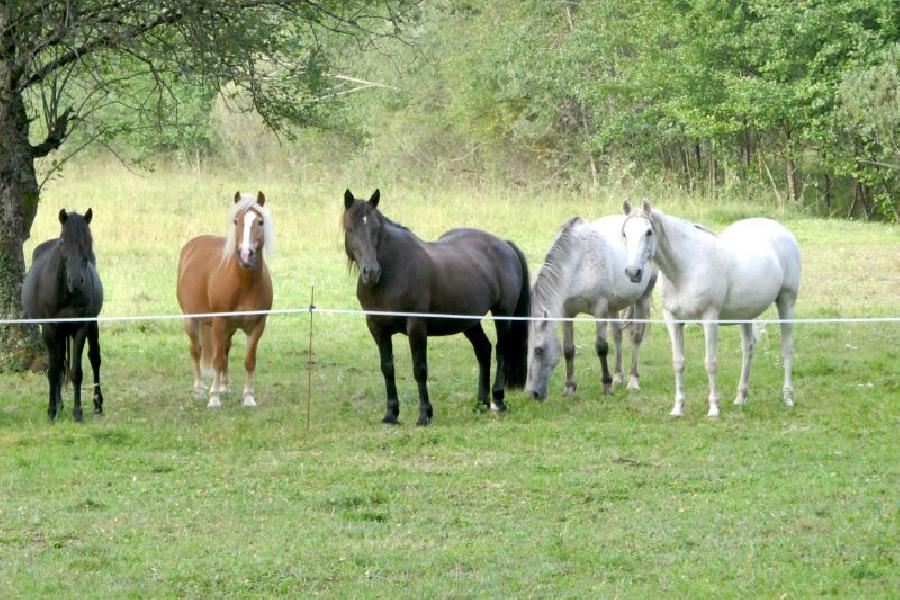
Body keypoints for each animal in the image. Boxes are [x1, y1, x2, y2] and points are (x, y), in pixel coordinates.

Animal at [21, 210, 103, 422]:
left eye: (88, 240)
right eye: (63, 241)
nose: (75, 281)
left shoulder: (81, 328)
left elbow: (76, 372)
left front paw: (78, 412)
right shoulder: (50, 328)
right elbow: (54, 369)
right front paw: (51, 411)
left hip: (91, 324)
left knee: (95, 358)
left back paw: (98, 404)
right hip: (57, 332)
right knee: (59, 363)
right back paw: (59, 403)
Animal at [176, 192, 274, 408]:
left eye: (260, 222)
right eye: (236, 221)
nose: (246, 254)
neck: (244, 284)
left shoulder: (258, 325)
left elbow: (249, 361)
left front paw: (248, 397)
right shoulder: (220, 322)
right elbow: (217, 360)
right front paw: (213, 399)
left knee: (226, 350)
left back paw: (224, 386)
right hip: (191, 320)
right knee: (197, 351)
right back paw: (199, 388)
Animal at [342, 189, 528, 426]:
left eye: (377, 229)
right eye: (350, 229)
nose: (371, 272)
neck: (393, 274)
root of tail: (504, 245)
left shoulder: (416, 326)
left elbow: (420, 369)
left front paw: (425, 414)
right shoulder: (377, 328)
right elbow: (387, 368)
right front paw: (391, 414)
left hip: (502, 315)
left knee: (501, 351)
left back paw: (498, 400)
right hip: (469, 321)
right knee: (484, 350)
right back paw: (481, 403)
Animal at [524, 213, 656, 400]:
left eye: (539, 350)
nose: (532, 394)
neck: (579, 260)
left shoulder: (599, 308)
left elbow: (601, 347)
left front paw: (606, 386)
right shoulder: (567, 311)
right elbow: (568, 349)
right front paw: (569, 387)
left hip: (642, 298)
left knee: (636, 336)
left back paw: (632, 381)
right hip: (614, 306)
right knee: (617, 336)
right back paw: (618, 377)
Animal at [620, 202, 800, 418]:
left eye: (649, 232)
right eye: (624, 233)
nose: (633, 272)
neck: (687, 267)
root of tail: (783, 231)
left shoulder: (710, 318)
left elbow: (711, 363)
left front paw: (714, 408)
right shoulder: (673, 320)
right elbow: (678, 363)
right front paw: (678, 408)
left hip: (786, 301)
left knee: (787, 347)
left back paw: (788, 398)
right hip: (745, 315)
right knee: (748, 349)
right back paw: (740, 397)